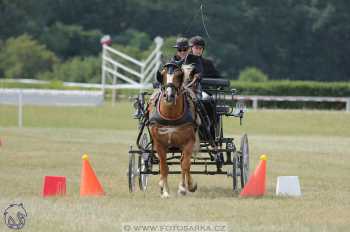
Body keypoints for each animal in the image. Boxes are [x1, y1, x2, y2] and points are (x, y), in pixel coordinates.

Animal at [148, 62, 200, 198]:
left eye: (178, 75)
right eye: (163, 75)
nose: (169, 96)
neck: (171, 116)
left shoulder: (189, 142)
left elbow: (185, 165)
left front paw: (183, 188)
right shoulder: (159, 144)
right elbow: (164, 167)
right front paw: (165, 191)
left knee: (185, 163)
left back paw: (189, 185)